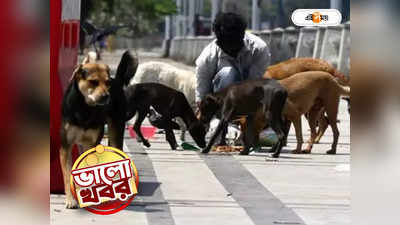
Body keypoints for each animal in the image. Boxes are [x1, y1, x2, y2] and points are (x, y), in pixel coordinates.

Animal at [58, 50, 138, 208]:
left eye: (107, 83)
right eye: (93, 82)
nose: (107, 96)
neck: (84, 108)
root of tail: (117, 80)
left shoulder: (92, 144)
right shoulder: (66, 146)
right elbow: (68, 173)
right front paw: (71, 199)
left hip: (116, 131)